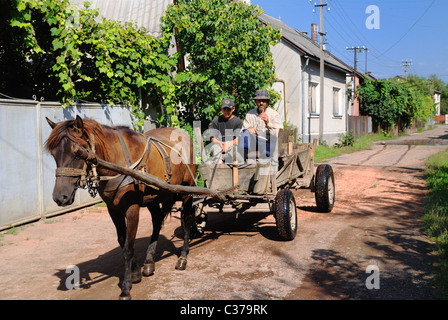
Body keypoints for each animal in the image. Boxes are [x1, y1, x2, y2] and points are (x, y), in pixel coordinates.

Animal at [44, 115, 197, 300]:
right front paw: (136, 272)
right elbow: (123, 241)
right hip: (154, 198)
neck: (117, 161)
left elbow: (128, 248)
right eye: (54, 155)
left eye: (76, 153)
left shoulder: (132, 208)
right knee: (157, 222)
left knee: (187, 220)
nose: (60, 197)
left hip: (187, 190)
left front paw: (126, 288)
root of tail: (184, 134)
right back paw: (149, 261)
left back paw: (182, 257)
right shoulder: (113, 209)